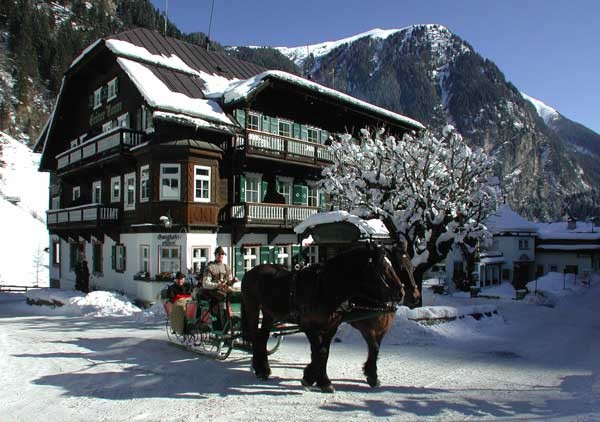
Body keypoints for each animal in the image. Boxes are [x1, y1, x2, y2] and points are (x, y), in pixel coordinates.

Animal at [240, 242, 404, 394]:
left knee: (262, 337)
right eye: (382, 267)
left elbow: (323, 352)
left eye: (392, 264)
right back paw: (259, 369)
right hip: (252, 308)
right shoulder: (308, 325)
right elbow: (319, 352)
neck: (323, 288)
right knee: (255, 336)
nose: (400, 292)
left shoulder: (331, 326)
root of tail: (251, 271)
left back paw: (264, 369)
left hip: (269, 314)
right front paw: (314, 379)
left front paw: (319, 380)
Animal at [346, 246, 422, 388]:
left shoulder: (383, 328)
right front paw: (372, 376)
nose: (415, 297)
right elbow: (374, 347)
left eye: (412, 267)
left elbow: (377, 348)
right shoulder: (366, 327)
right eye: (401, 267)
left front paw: (371, 373)